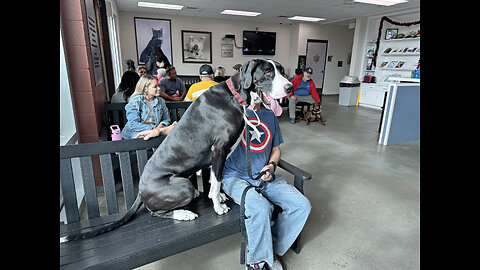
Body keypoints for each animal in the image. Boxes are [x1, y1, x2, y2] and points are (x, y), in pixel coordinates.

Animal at [60, 59, 292, 243]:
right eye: (268, 73)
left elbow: (215, 179)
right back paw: (183, 214)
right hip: (182, 186)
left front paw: (219, 197)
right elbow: (216, 181)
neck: (235, 96)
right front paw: (218, 206)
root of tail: (140, 191)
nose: (290, 87)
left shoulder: (219, 154)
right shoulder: (219, 149)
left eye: (281, 70)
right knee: (155, 213)